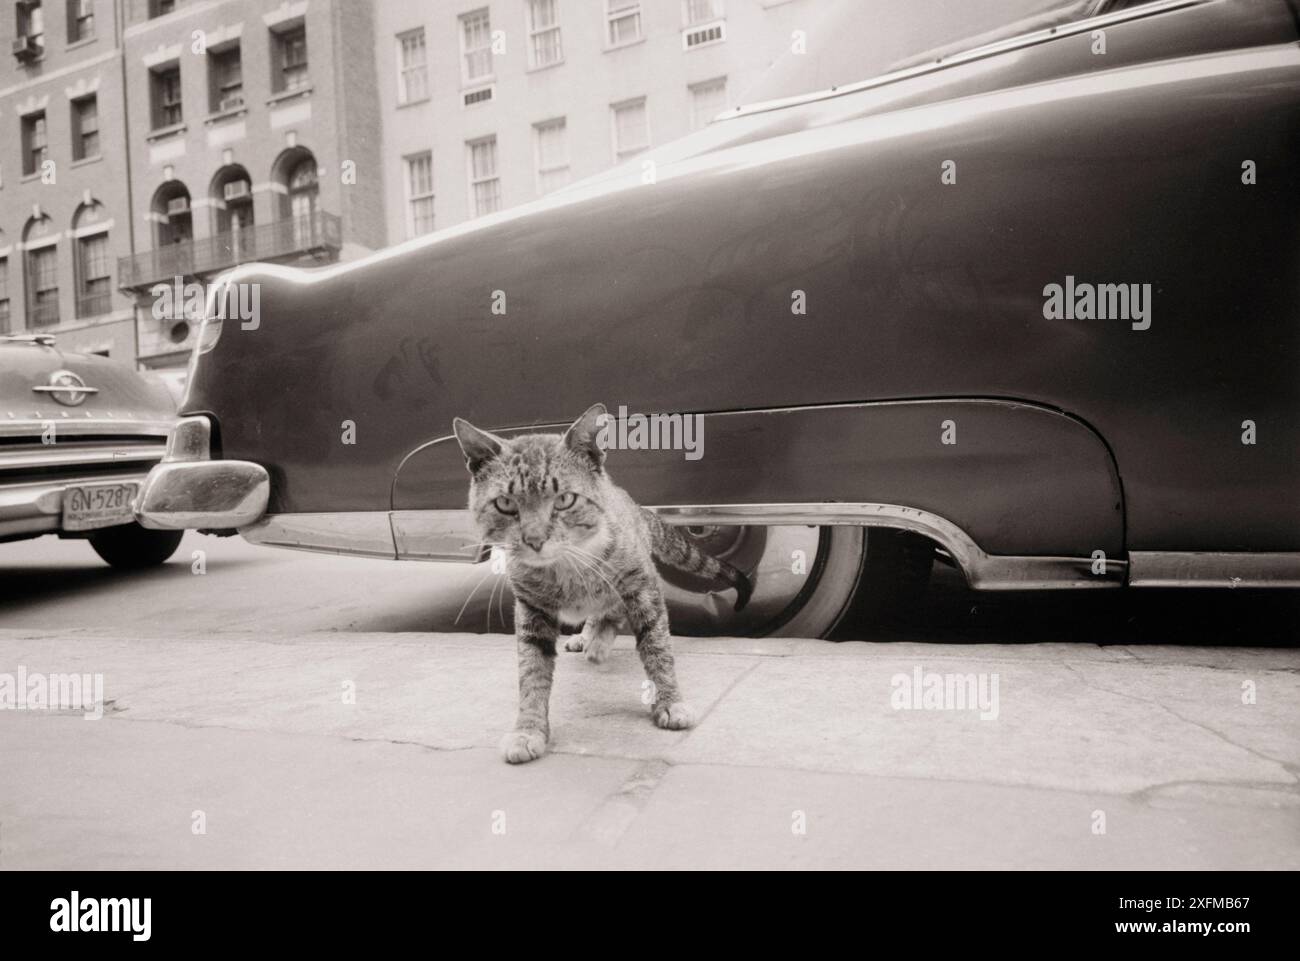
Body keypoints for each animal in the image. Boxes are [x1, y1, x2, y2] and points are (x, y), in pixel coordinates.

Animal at [454, 403, 754, 764]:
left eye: (565, 499)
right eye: (506, 504)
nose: (534, 539)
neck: (566, 569)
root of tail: (633, 504)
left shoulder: (643, 585)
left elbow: (657, 647)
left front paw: (669, 700)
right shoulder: (530, 607)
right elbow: (531, 669)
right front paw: (528, 729)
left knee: (614, 609)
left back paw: (599, 639)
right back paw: (588, 637)